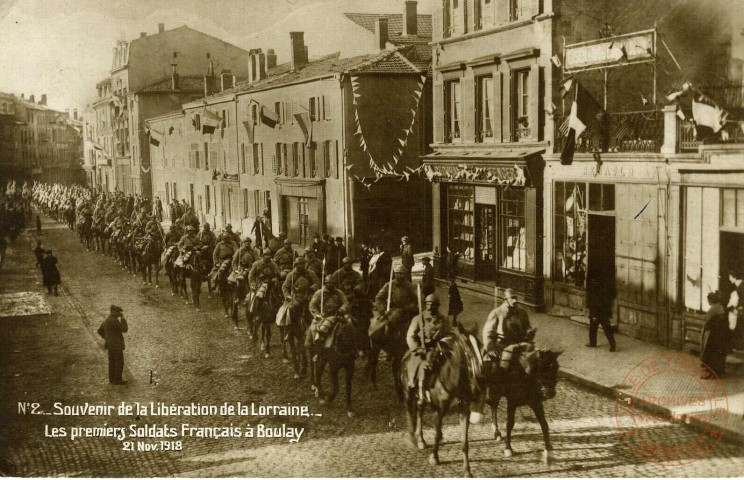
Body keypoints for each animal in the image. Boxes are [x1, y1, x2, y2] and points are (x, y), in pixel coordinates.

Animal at [402, 330, 482, 476]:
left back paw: (421, 439)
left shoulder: (464, 411)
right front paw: (434, 458)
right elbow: (436, 434)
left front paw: (467, 470)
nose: (477, 389)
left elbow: (464, 442)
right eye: (468, 356)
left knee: (419, 409)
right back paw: (413, 438)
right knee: (410, 411)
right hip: (407, 393)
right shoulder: (438, 411)